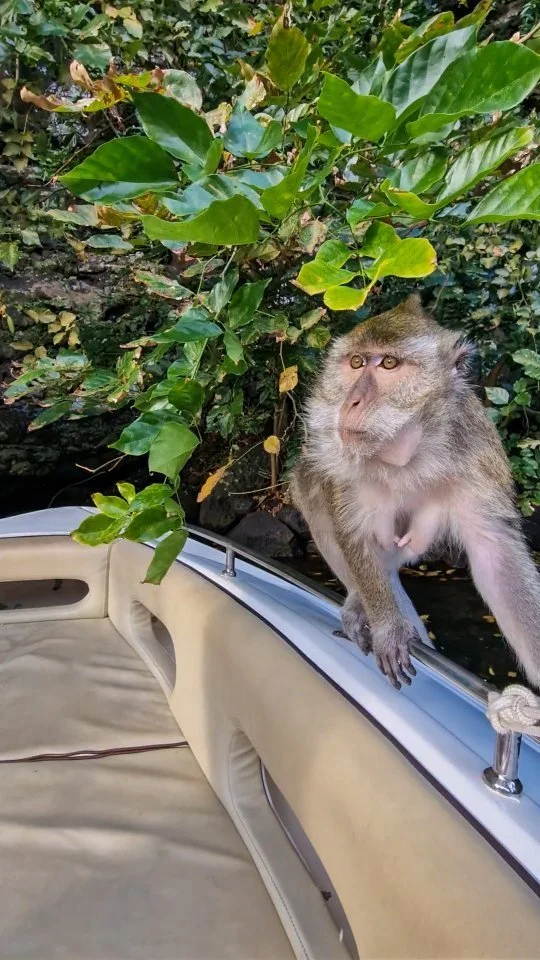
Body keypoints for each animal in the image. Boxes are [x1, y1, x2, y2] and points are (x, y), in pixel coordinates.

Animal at [291, 294, 540, 690]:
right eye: (356, 362)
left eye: (389, 363)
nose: (351, 402)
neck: (407, 451)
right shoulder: (346, 460)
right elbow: (352, 530)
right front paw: (387, 626)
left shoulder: (478, 457)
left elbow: (496, 559)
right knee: (309, 482)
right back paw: (360, 600)